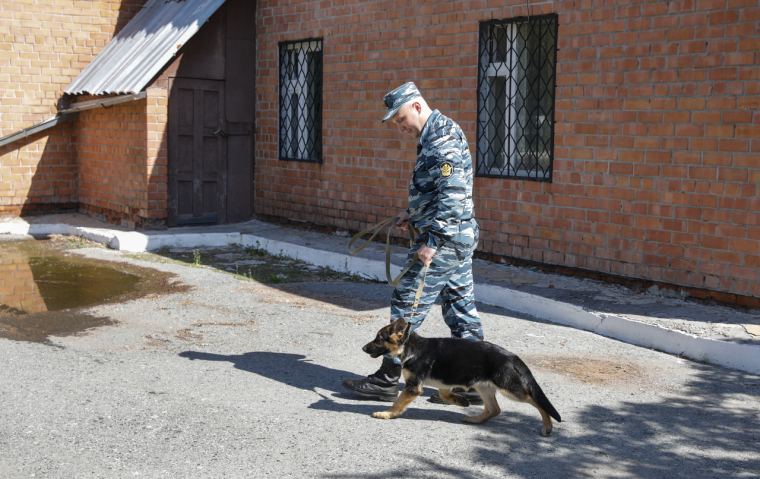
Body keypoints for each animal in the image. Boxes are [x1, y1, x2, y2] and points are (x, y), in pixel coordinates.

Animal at [362, 320, 564, 436]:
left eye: (378, 339)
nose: (363, 348)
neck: (411, 346)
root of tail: (511, 356)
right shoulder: (443, 383)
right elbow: (444, 395)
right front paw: (460, 400)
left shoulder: (413, 386)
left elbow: (397, 402)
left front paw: (387, 413)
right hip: (484, 387)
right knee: (494, 409)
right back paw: (474, 419)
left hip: (511, 389)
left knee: (537, 402)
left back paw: (547, 425)